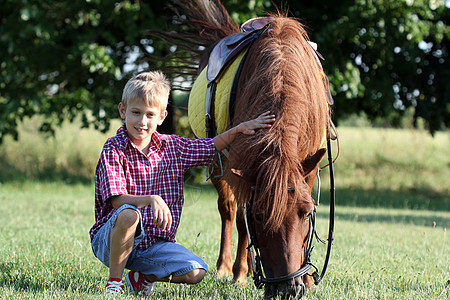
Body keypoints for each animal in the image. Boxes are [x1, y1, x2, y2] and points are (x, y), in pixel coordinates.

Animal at [149, 0, 332, 298]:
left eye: (306, 213)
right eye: (259, 216)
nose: (288, 289)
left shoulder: (307, 168)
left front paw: (307, 279)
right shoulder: (241, 164)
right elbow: (242, 222)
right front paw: (240, 273)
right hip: (216, 161)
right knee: (229, 211)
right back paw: (229, 267)